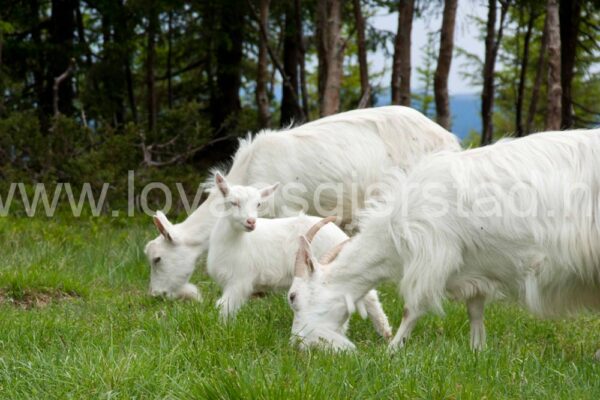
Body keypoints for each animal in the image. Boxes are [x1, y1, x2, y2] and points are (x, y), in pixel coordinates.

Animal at [206, 173, 394, 342]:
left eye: (258, 204)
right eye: (233, 202)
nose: (251, 222)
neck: (237, 242)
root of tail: (339, 234)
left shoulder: (240, 281)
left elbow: (224, 306)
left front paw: (223, 331)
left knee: (369, 296)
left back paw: (382, 332)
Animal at [288, 130, 600, 354]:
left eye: (293, 297)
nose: (297, 345)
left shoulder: (433, 254)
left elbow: (412, 308)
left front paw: (391, 351)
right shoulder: (473, 265)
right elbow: (475, 310)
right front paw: (477, 350)